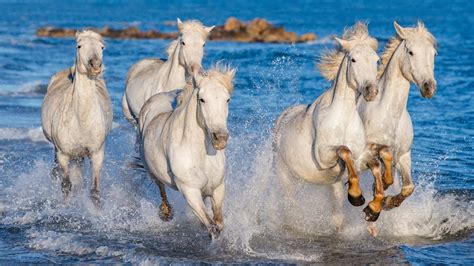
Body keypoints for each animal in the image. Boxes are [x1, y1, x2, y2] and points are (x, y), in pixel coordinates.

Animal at [41, 30, 112, 205]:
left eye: (102, 47)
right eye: (79, 46)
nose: (96, 66)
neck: (81, 119)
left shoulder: (97, 154)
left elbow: (94, 191)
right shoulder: (64, 154)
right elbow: (66, 185)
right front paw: (66, 207)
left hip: (79, 156)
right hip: (60, 152)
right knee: (57, 173)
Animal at [139, 65, 235, 239]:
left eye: (227, 99)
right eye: (202, 99)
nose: (220, 138)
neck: (200, 155)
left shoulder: (218, 189)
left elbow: (218, 222)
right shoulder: (190, 192)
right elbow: (212, 227)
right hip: (151, 170)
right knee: (160, 186)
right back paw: (166, 213)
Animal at [274, 21, 378, 228]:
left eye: (376, 60)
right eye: (353, 60)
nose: (371, 91)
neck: (343, 118)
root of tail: (282, 118)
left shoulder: (359, 158)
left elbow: (374, 164)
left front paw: (373, 209)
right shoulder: (323, 156)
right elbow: (344, 150)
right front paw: (356, 196)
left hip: (331, 186)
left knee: (337, 215)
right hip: (284, 176)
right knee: (290, 205)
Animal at [360, 20, 436, 220]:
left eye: (434, 53)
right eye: (411, 52)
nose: (429, 87)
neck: (388, 115)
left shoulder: (403, 155)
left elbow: (408, 187)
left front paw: (387, 202)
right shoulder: (367, 153)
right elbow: (382, 177)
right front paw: (374, 207)